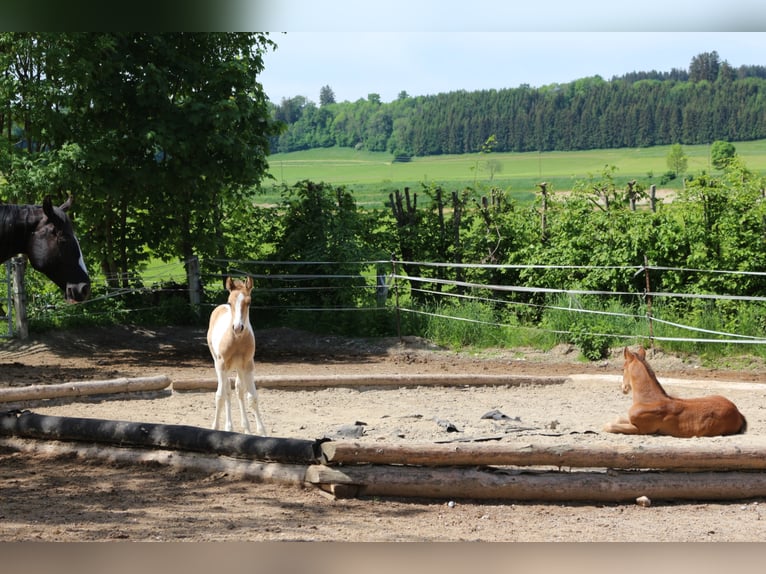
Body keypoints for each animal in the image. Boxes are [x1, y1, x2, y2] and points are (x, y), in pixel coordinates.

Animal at [208, 280, 268, 436]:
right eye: (230, 302)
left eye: (249, 302)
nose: (237, 327)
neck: (237, 340)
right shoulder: (221, 365)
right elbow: (220, 396)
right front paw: (215, 427)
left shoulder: (248, 365)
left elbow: (252, 397)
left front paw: (262, 432)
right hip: (219, 364)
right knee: (226, 391)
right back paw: (228, 427)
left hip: (238, 368)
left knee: (238, 390)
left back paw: (246, 428)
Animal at [604, 346, 748, 440]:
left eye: (622, 368)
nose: (623, 388)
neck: (649, 400)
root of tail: (737, 412)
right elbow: (617, 419)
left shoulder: (640, 429)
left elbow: (608, 426)